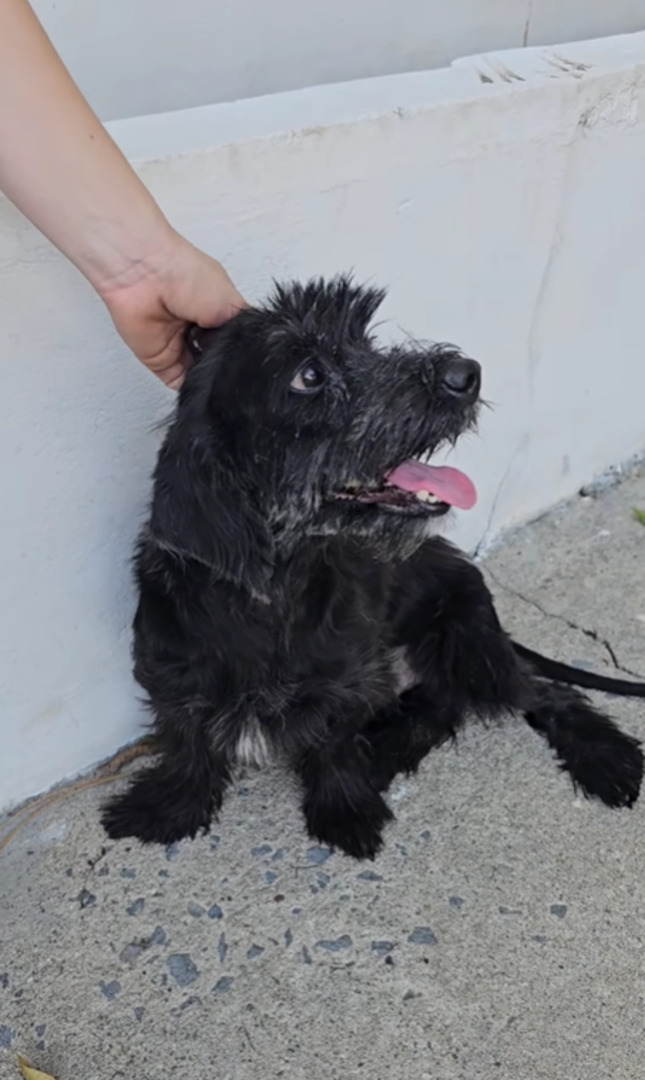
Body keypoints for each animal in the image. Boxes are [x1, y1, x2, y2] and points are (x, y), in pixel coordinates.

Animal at [102, 278, 643, 859]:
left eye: (365, 342)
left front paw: (344, 808)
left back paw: (608, 761)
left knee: (544, 693)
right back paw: (388, 748)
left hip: (470, 646)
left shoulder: (350, 679)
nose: (467, 374)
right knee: (443, 706)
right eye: (309, 374)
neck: (274, 591)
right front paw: (170, 807)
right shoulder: (172, 676)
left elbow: (332, 744)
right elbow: (188, 745)